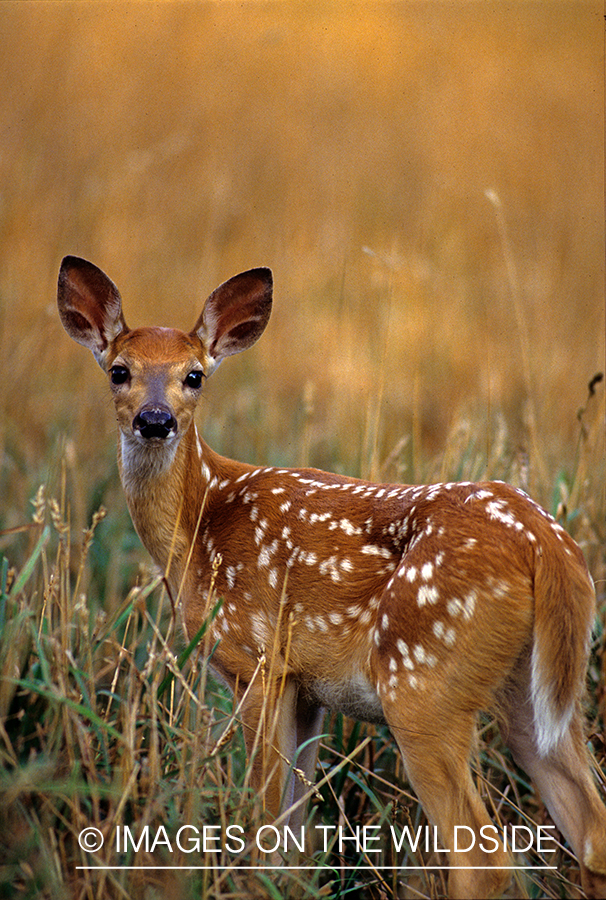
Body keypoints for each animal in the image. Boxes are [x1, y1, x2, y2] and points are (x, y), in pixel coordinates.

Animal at [57, 255, 606, 899]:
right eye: (119, 371)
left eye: (195, 376)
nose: (155, 419)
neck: (200, 525)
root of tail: (547, 546)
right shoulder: (307, 686)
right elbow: (294, 833)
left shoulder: (257, 660)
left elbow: (263, 818)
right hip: (536, 693)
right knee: (591, 829)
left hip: (423, 684)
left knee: (484, 857)